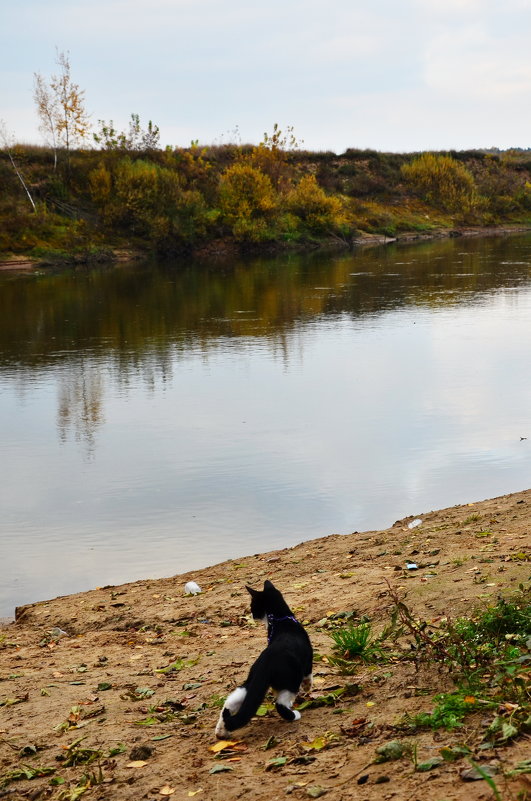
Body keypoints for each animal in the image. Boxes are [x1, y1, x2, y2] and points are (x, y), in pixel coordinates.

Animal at [215, 576, 314, 736]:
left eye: (252, 605)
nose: (251, 615)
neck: (281, 620)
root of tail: (266, 663)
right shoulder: (308, 658)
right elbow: (309, 674)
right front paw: (307, 686)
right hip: (291, 680)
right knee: (280, 704)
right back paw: (294, 715)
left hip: (250, 682)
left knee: (229, 703)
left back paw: (220, 730)